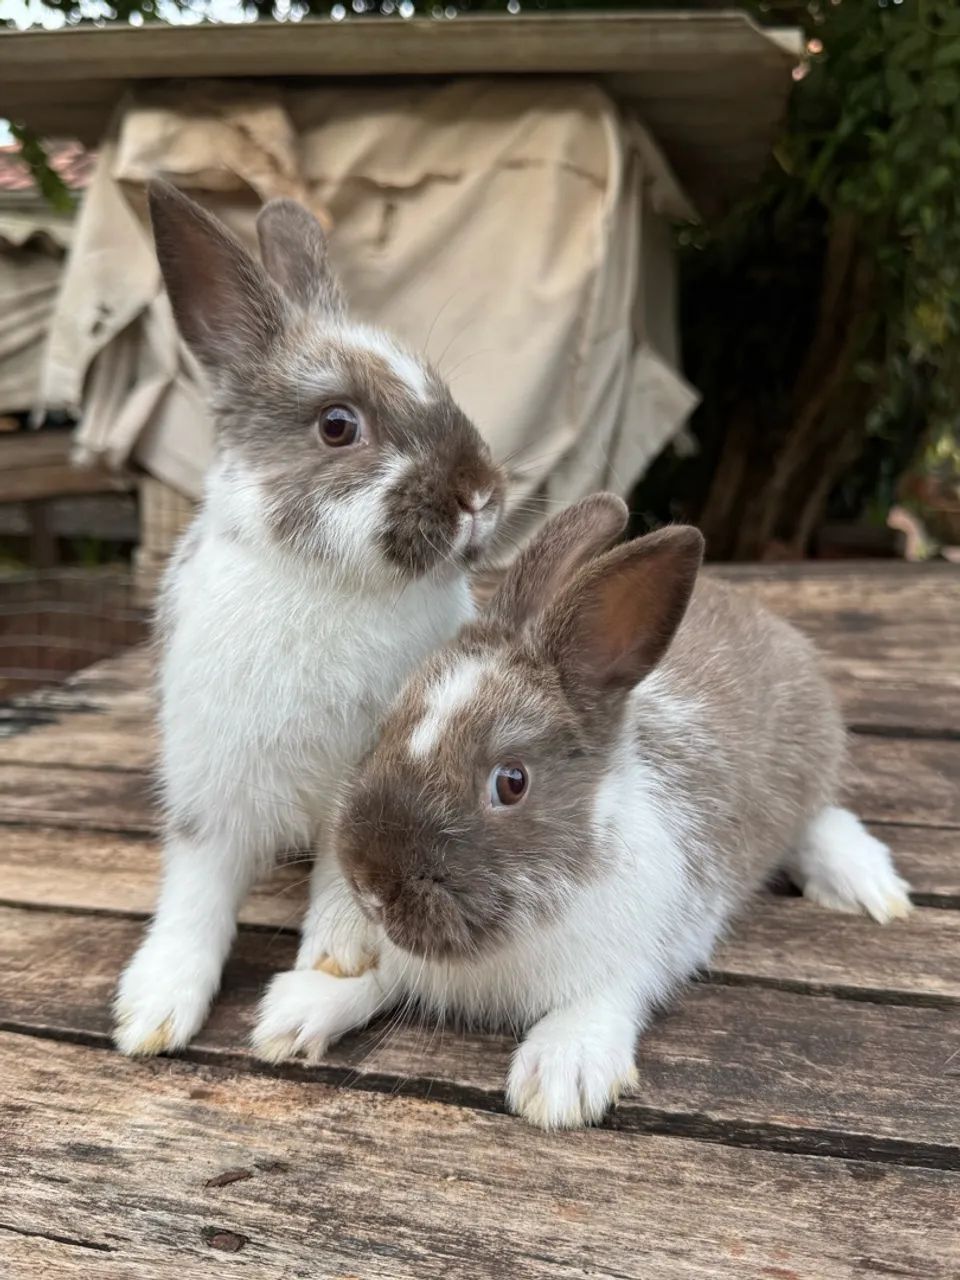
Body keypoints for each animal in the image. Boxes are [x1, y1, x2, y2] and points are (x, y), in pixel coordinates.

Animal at [114, 181, 505, 1057]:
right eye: (337, 424)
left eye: (443, 390)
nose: (479, 490)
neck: (335, 585)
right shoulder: (210, 788)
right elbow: (195, 897)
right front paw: (152, 1012)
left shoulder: (358, 802)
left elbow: (341, 892)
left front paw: (335, 963)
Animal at [253, 492, 914, 1128]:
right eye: (386, 729)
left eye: (512, 782)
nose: (371, 885)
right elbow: (378, 973)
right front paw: (294, 1013)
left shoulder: (657, 943)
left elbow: (607, 997)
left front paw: (561, 1077)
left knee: (821, 818)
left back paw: (866, 885)